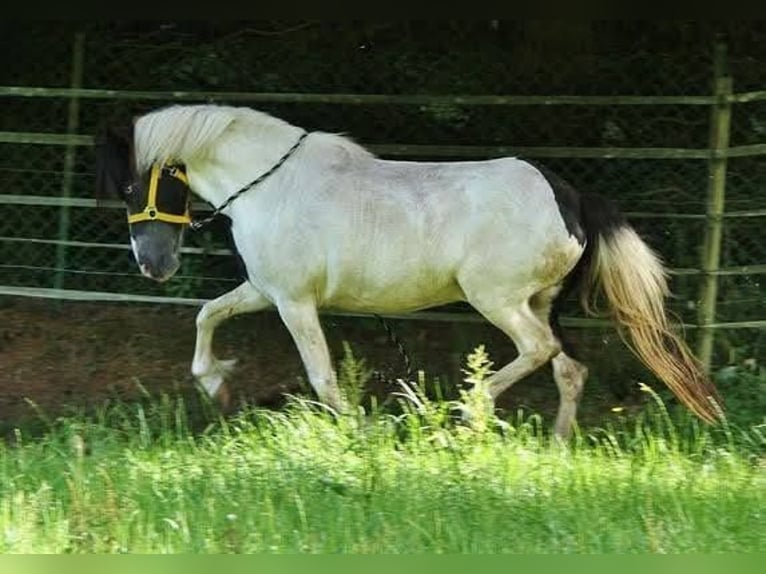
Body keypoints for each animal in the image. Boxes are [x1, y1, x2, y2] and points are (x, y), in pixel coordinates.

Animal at [95, 103, 721, 438]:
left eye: (129, 186)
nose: (153, 265)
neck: (270, 184)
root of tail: (568, 196)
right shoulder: (265, 289)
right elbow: (208, 315)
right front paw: (216, 385)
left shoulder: (295, 301)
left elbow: (322, 376)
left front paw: (359, 431)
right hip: (540, 302)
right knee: (569, 369)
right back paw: (557, 443)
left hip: (497, 299)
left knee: (538, 351)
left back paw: (466, 409)